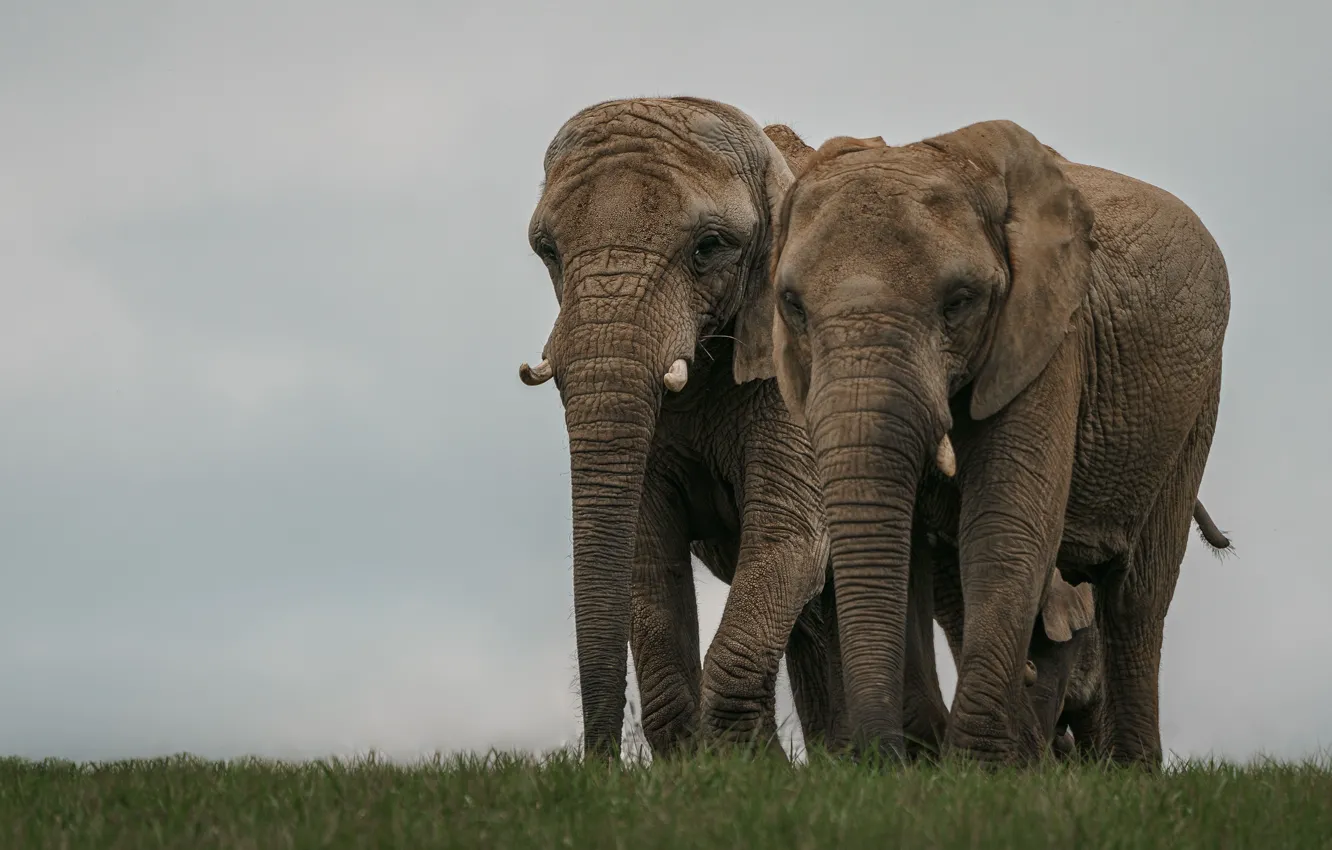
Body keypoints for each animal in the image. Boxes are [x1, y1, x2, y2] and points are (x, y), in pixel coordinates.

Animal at [516, 96, 952, 760]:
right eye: (547, 250)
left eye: (708, 247)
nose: (599, 765)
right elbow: (649, 552)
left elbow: (789, 537)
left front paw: (750, 767)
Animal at [740, 119, 1230, 767]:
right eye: (792, 305)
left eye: (960, 302)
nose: (876, 759)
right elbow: (909, 551)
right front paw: (931, 759)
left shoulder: (1050, 337)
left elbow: (1005, 525)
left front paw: (975, 768)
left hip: (1194, 407)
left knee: (1137, 597)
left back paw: (1133, 771)